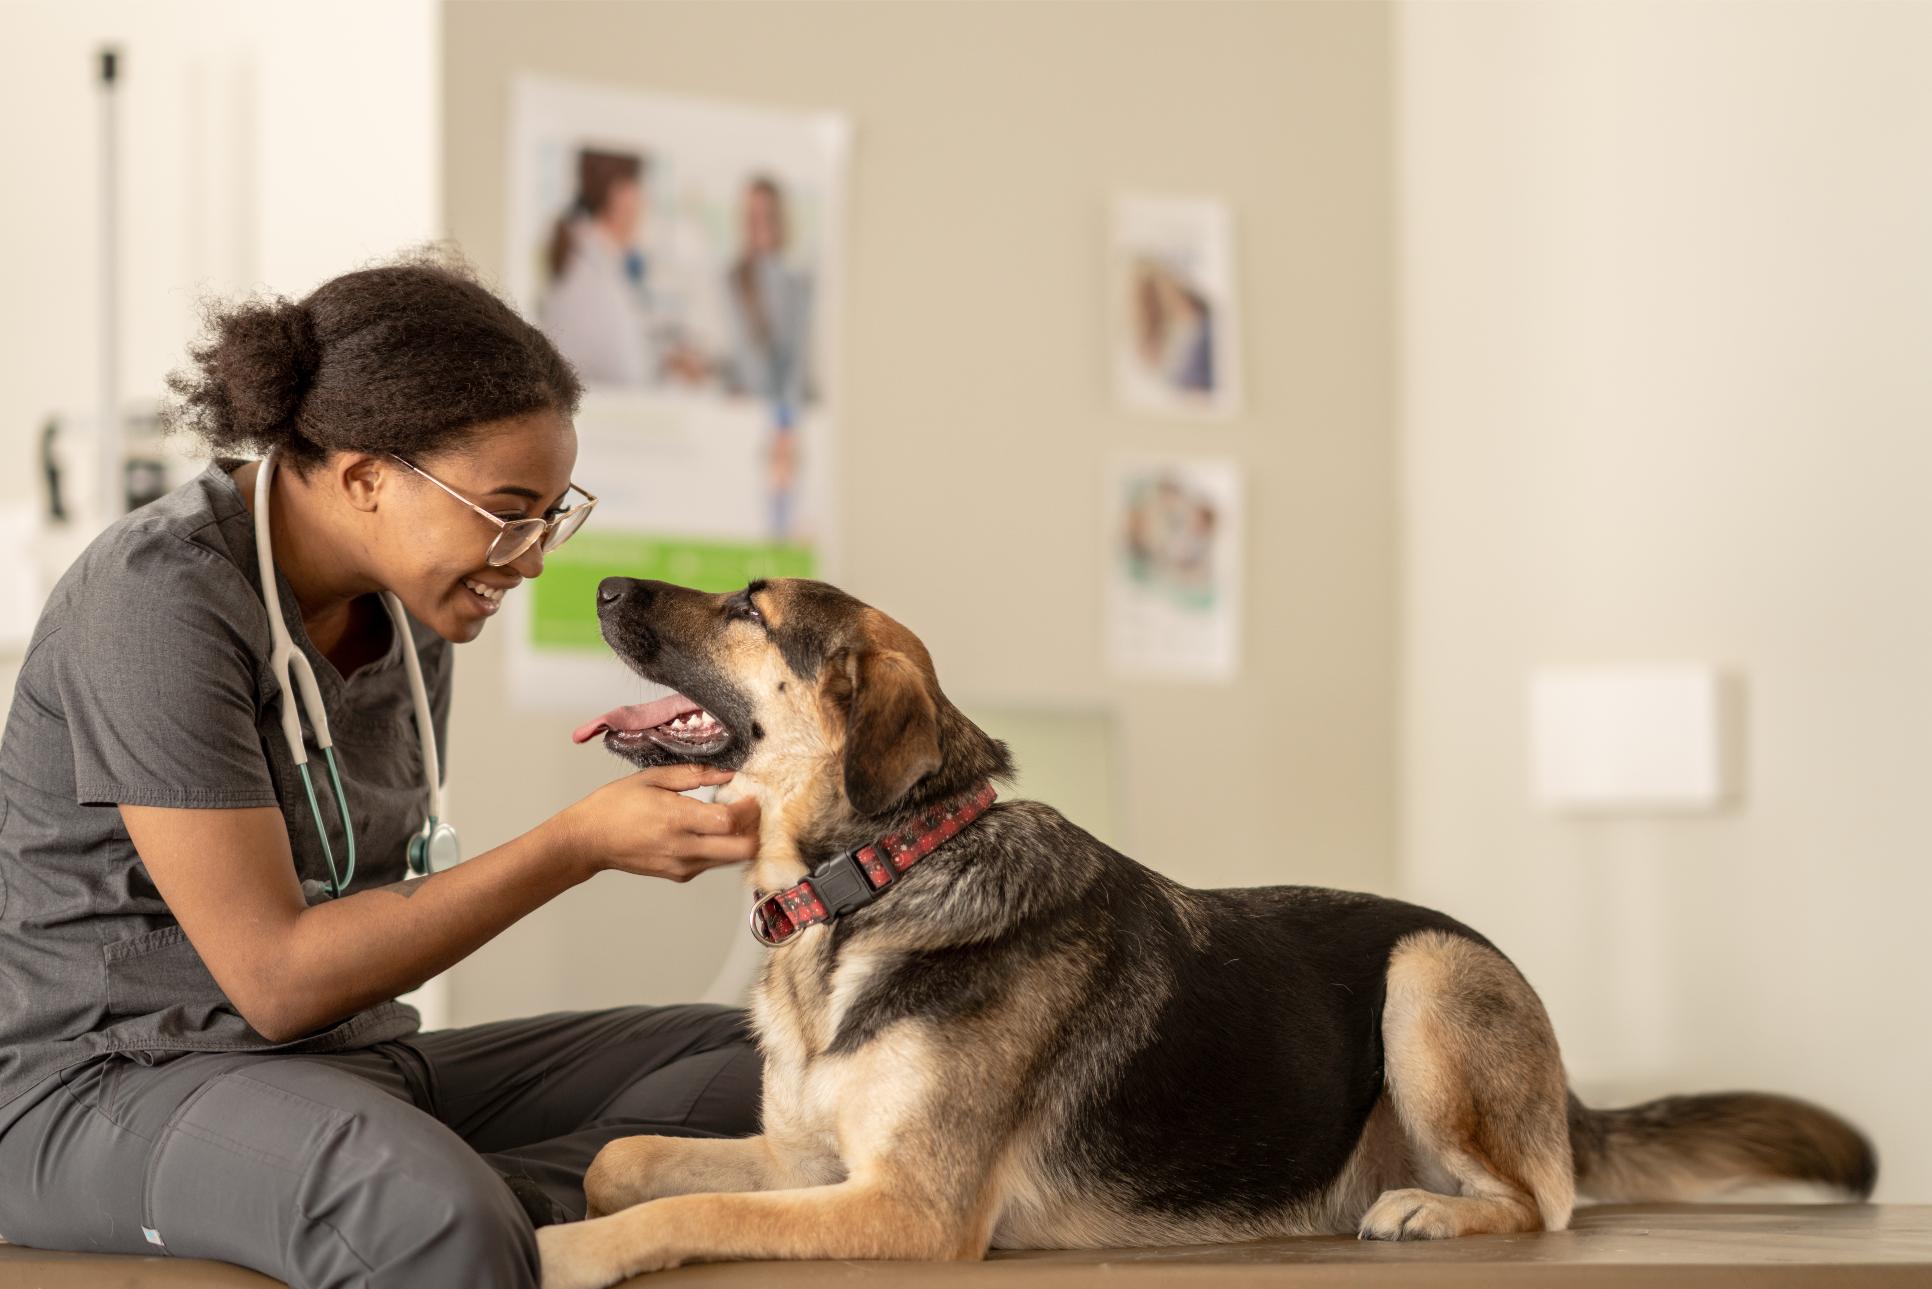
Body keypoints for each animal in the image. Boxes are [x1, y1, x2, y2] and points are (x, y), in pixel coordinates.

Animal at [537, 575, 1877, 1289]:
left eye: (748, 608)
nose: (598, 583)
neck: (876, 880)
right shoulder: (815, 1162)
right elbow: (628, 1161)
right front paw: (588, 1200)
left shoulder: (909, 1206)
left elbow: (685, 1214)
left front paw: (567, 1250)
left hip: (1428, 974)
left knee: (1543, 1202)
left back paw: (1433, 1212)